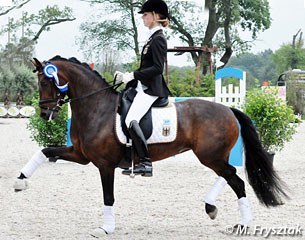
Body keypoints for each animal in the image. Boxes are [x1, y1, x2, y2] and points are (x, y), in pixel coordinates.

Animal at [24, 55, 288, 236]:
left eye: (46, 81)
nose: (45, 113)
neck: (96, 107)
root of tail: (229, 109)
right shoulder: (80, 155)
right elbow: (46, 151)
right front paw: (20, 181)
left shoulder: (104, 164)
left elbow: (108, 196)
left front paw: (106, 228)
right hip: (214, 156)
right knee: (230, 175)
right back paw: (212, 208)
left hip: (210, 156)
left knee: (235, 179)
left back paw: (241, 222)